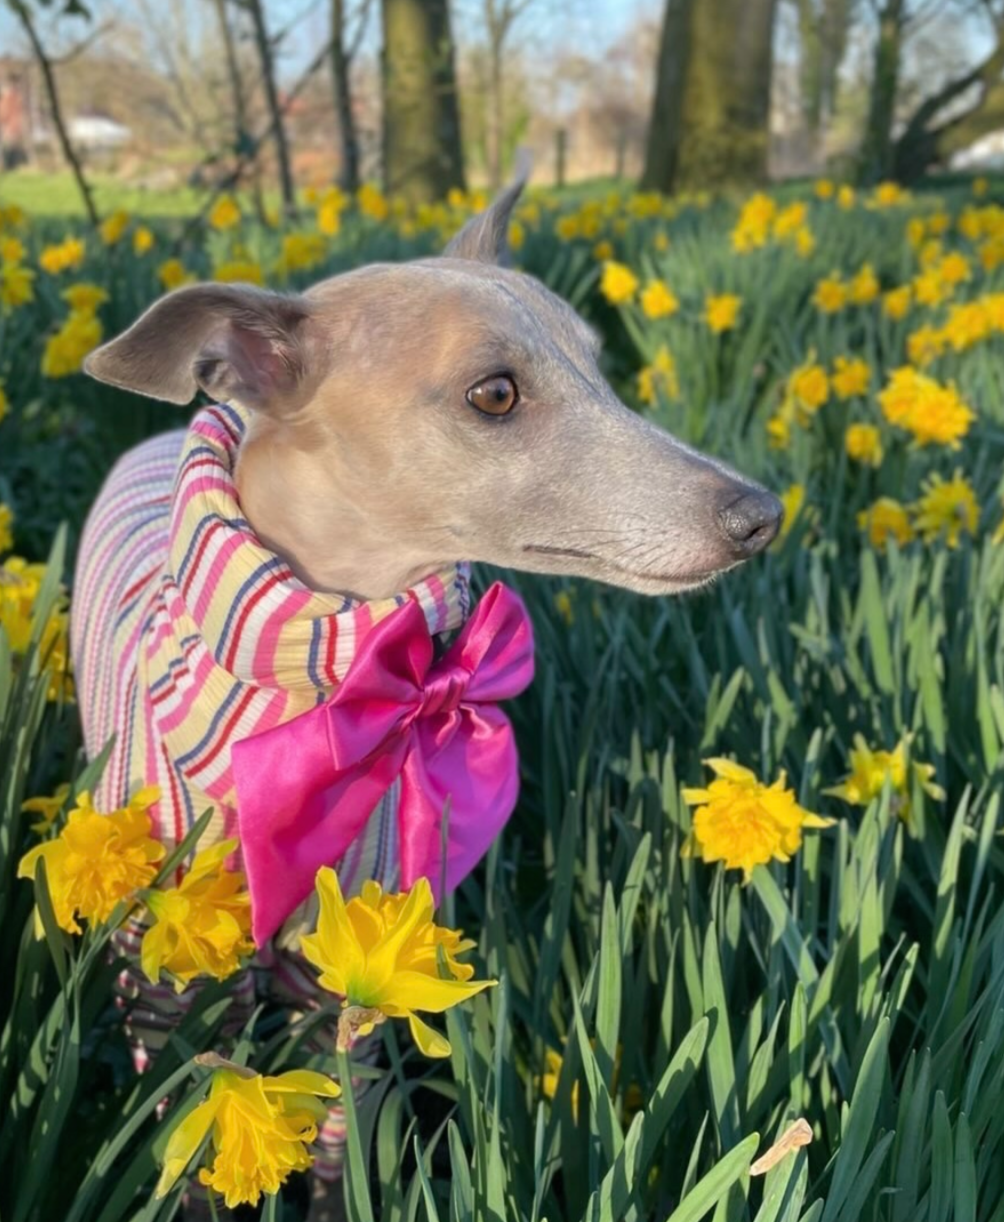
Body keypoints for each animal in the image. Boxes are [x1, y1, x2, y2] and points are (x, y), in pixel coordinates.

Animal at [78, 177, 781, 1217]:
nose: (761, 516)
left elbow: (348, 1148)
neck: (323, 693)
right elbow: (188, 1150)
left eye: (599, 364)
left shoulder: (363, 979)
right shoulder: (165, 991)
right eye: (495, 393)